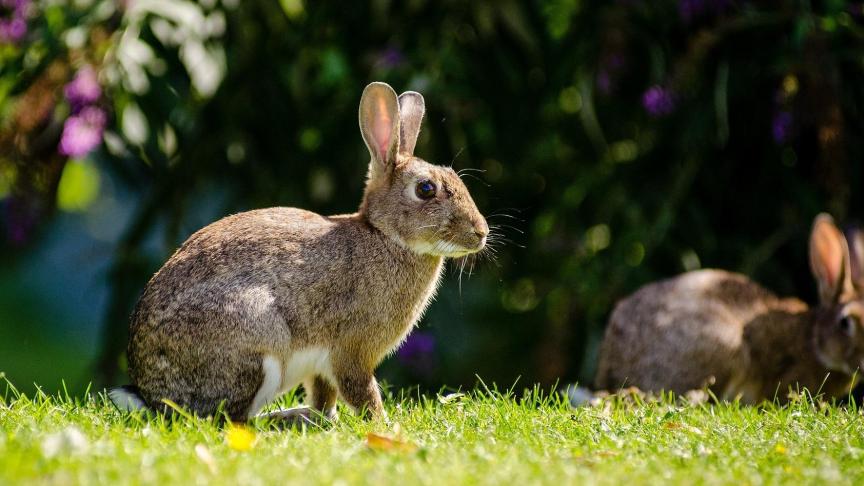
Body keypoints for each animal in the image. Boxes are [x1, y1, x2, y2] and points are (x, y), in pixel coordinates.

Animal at [109, 81, 490, 424]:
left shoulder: (324, 366)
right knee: (230, 419)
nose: (481, 233)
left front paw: (324, 418)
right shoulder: (350, 351)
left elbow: (325, 394)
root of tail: (151, 394)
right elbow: (361, 391)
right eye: (425, 189)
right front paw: (382, 424)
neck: (385, 235)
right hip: (258, 341)